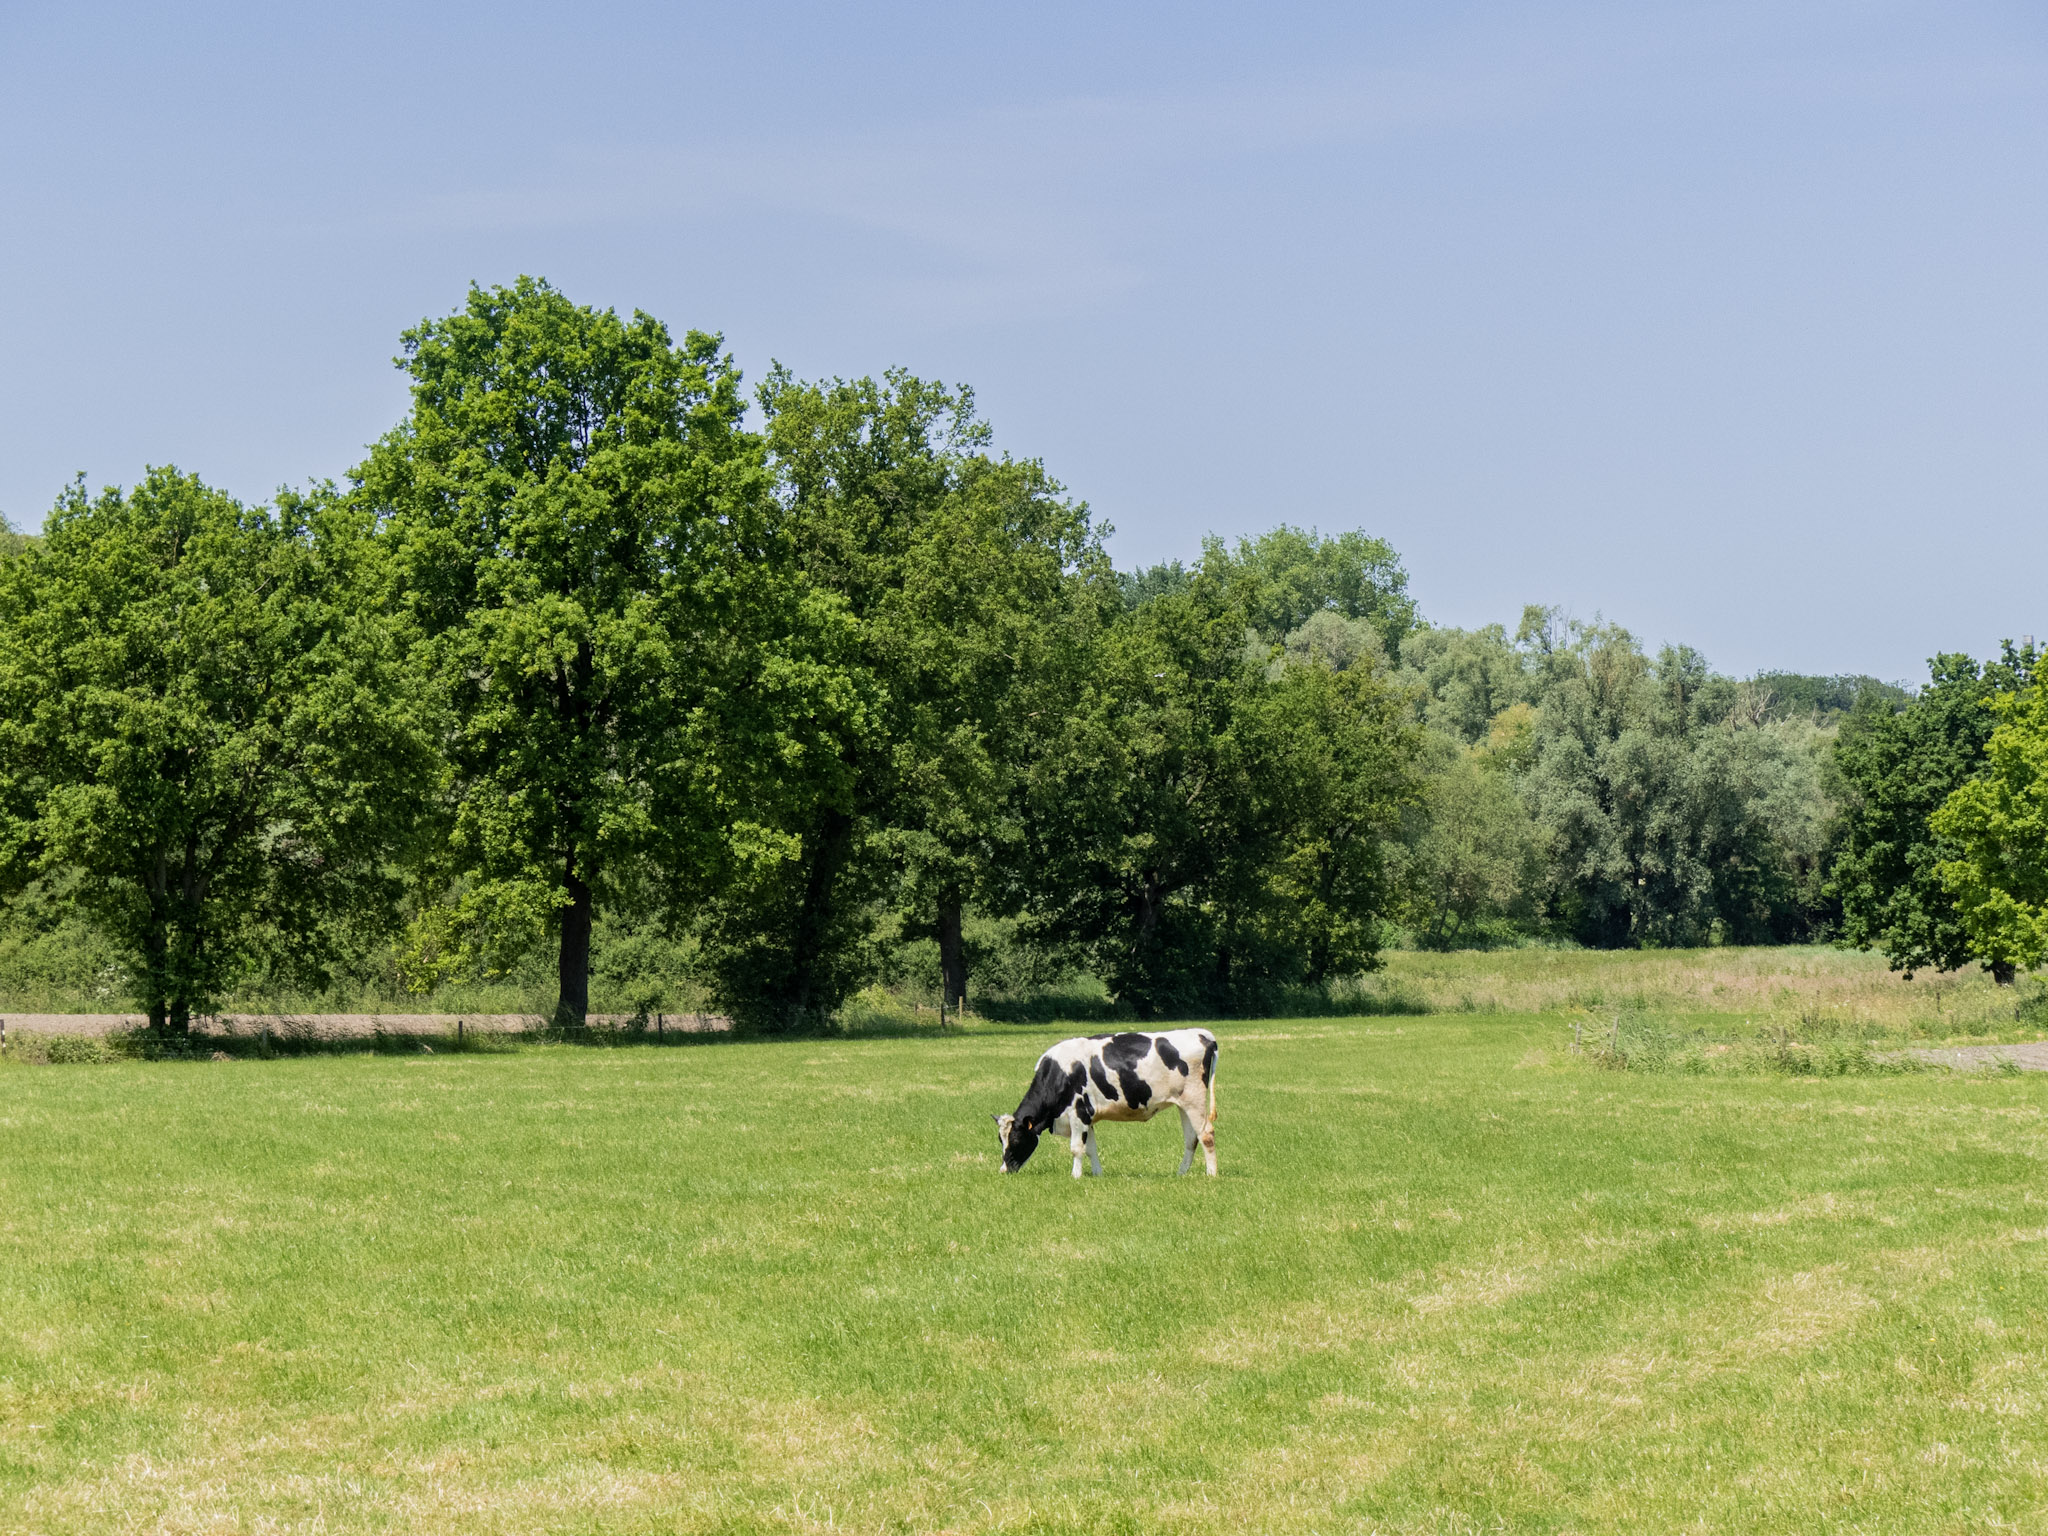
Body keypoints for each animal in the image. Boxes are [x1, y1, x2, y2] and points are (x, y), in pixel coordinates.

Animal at [992, 1029, 1218, 1178]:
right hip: (1183, 1104)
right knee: (1191, 1139)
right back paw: (1181, 1173)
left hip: (1195, 1099)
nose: (1004, 1170)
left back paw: (1211, 1174)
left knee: (1206, 1134)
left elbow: (1076, 1148)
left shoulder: (1078, 1113)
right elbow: (1090, 1148)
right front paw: (1097, 1174)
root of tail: (1202, 1034)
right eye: (1000, 1139)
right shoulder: (1088, 1117)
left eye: (1016, 1138)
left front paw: (1075, 1176)